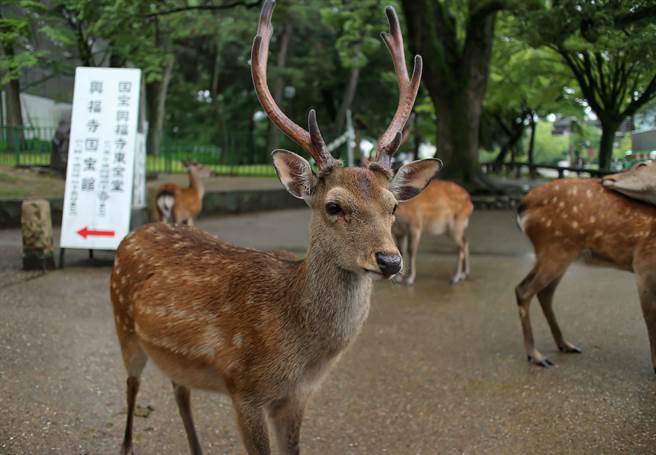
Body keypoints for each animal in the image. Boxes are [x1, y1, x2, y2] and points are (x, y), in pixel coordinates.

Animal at [110, 2, 440, 454]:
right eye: (334, 206)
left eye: (393, 207)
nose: (390, 261)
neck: (299, 354)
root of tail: (134, 233)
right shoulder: (243, 387)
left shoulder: (298, 397)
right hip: (124, 325)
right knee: (130, 385)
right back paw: (126, 442)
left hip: (174, 356)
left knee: (180, 390)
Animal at [515, 161, 656, 372]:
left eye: (641, 164)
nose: (606, 178)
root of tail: (523, 205)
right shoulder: (643, 265)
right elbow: (651, 317)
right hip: (555, 249)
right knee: (523, 290)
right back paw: (536, 355)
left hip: (561, 254)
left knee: (544, 293)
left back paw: (565, 344)